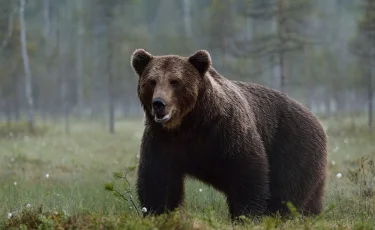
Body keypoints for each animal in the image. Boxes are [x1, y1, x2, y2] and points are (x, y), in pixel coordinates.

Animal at [130, 48, 328, 221]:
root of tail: (316, 119)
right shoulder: (162, 141)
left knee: (287, 189)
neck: (189, 124)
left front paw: (246, 215)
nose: (159, 103)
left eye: (175, 81)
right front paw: (157, 213)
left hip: (293, 144)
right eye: (152, 81)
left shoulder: (226, 132)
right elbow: (158, 180)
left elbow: (247, 173)